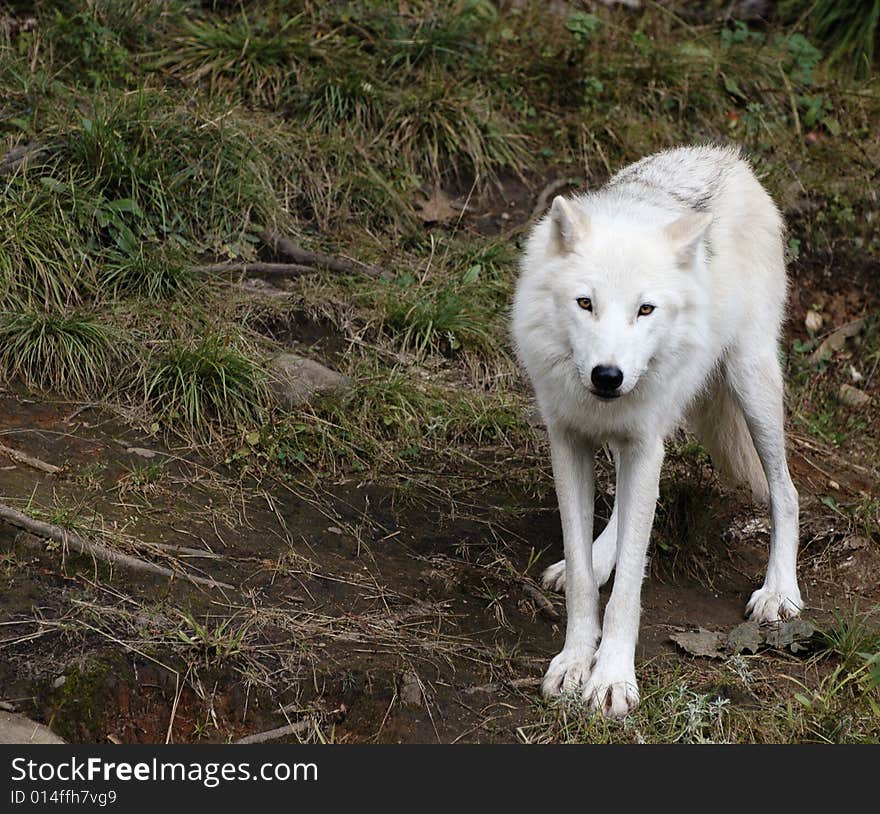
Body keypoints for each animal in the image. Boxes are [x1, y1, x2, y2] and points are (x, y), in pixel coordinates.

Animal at [508, 147, 804, 720]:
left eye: (645, 309)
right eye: (585, 303)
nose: (608, 376)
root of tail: (729, 158)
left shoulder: (646, 445)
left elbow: (628, 590)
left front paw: (611, 680)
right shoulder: (569, 441)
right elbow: (584, 579)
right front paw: (574, 662)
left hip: (752, 382)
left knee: (786, 491)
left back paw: (779, 592)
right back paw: (601, 554)